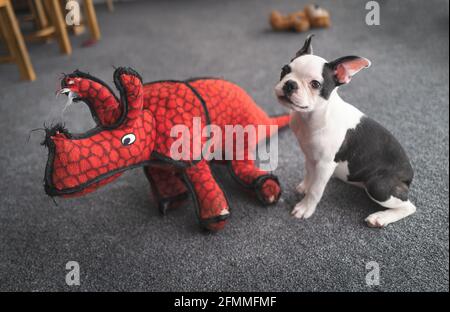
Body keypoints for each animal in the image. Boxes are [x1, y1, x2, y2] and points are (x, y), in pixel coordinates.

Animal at [276, 36, 416, 227]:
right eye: (284, 70)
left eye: (315, 84)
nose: (290, 84)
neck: (311, 117)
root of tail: (409, 175)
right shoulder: (310, 155)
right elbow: (309, 173)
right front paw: (305, 186)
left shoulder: (325, 164)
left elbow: (316, 190)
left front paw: (305, 207)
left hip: (378, 186)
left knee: (409, 206)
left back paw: (380, 217)